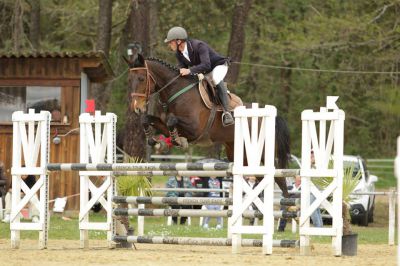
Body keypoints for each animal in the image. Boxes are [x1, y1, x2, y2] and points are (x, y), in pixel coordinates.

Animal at [128, 53, 290, 197]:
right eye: (131, 80)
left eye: (141, 78)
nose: (137, 108)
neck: (177, 92)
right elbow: (149, 120)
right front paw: (155, 141)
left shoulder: (194, 129)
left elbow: (171, 121)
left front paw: (177, 141)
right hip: (238, 152)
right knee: (257, 177)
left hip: (261, 152)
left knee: (279, 179)